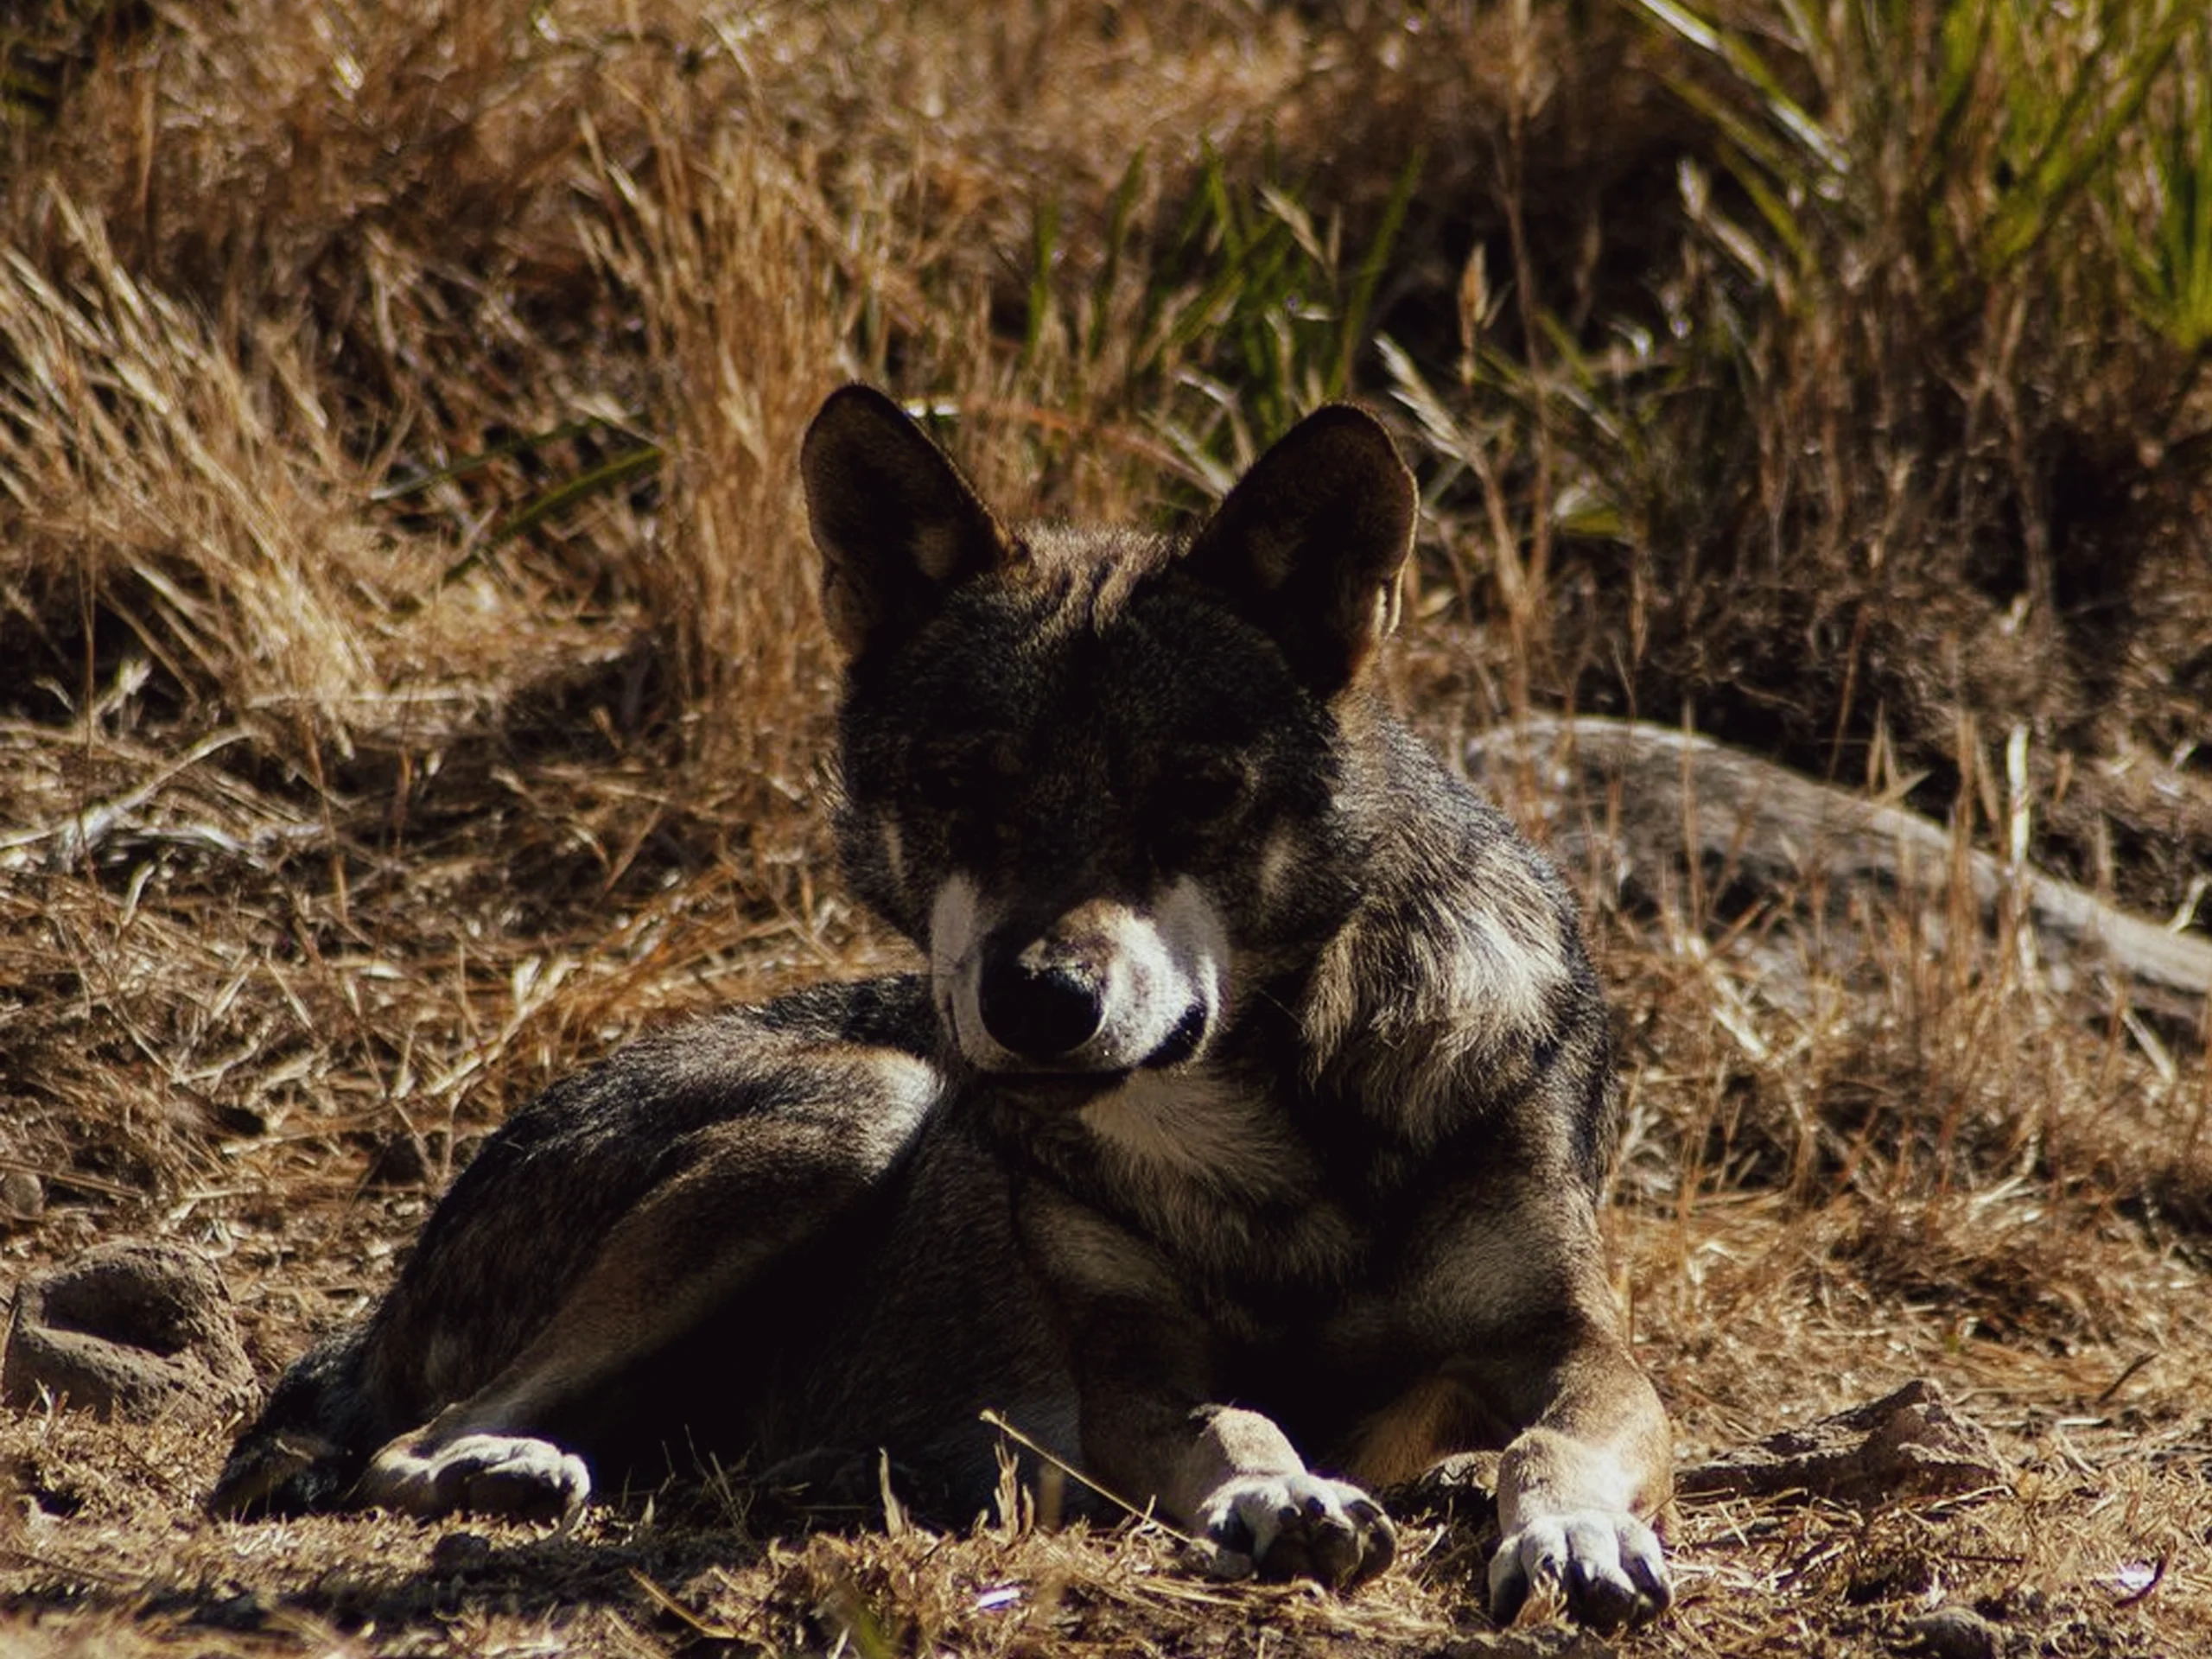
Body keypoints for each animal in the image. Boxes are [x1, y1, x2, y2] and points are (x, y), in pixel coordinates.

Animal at [211, 387, 1672, 1637]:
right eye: (959, 783)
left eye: (1197, 793)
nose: (1038, 1001)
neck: (1277, 1145)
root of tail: (390, 1297)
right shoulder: (1129, 1371)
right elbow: (1239, 1427)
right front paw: (1284, 1495)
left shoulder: (1573, 1345)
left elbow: (1556, 1439)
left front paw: (1574, 1537)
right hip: (866, 1105)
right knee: (410, 1443)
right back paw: (510, 1466)